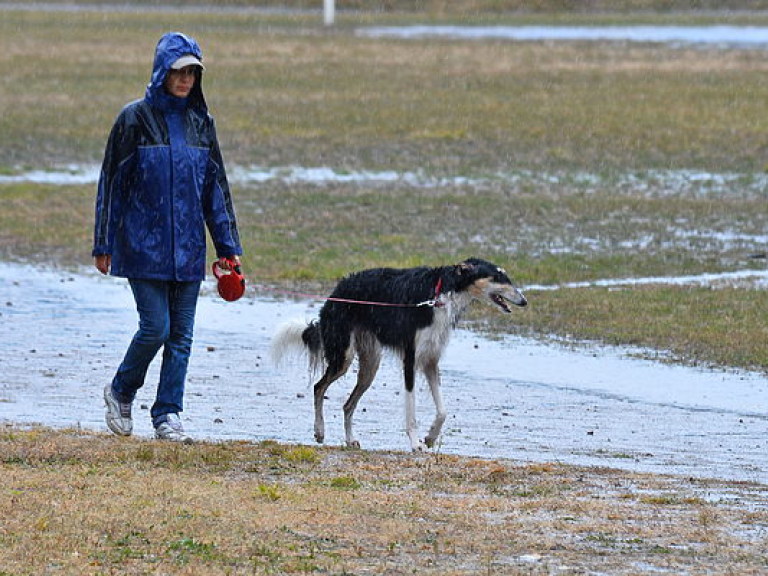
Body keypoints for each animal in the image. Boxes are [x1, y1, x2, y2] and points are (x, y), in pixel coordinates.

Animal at [270, 256, 528, 450]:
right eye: (497, 277)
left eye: (506, 276)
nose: (524, 301)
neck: (439, 295)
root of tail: (334, 293)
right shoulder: (410, 360)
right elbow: (411, 412)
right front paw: (416, 444)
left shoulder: (431, 361)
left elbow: (443, 411)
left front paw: (430, 437)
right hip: (344, 356)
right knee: (318, 387)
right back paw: (319, 431)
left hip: (370, 365)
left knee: (347, 404)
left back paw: (350, 439)